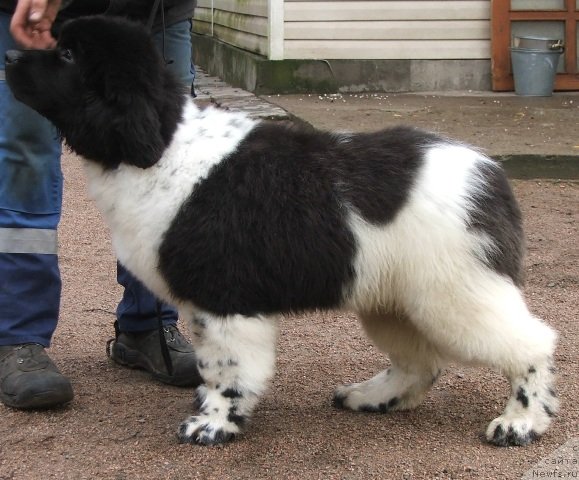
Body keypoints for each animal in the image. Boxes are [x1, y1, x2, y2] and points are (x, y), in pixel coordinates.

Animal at [3, 16, 556, 448]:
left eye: (67, 54)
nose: (8, 54)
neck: (161, 147)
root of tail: (491, 172)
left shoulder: (225, 298)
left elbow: (228, 368)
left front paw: (214, 425)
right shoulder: (207, 304)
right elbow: (213, 363)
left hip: (456, 291)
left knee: (532, 344)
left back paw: (521, 421)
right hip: (395, 296)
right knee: (420, 362)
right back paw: (370, 397)